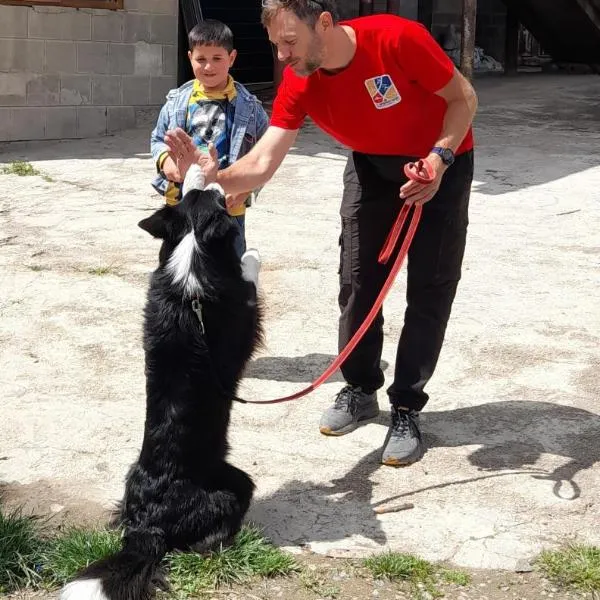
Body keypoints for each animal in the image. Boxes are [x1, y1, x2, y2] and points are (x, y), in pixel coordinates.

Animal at [60, 164, 262, 600]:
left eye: (192, 193)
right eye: (215, 198)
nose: (209, 172)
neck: (191, 250)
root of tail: (146, 528)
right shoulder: (245, 316)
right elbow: (250, 277)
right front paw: (252, 255)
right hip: (231, 485)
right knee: (220, 521)